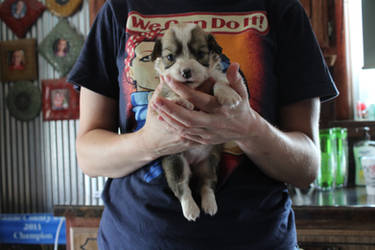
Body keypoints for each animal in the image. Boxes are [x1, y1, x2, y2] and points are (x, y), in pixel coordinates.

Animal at [151, 22, 242, 220]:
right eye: (170, 57)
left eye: (200, 54)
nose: (186, 71)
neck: (194, 89)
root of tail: (193, 163)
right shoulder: (162, 93)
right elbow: (171, 94)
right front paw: (180, 101)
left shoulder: (216, 76)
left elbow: (219, 82)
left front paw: (228, 95)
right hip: (176, 162)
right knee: (182, 187)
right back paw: (191, 209)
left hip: (210, 163)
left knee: (206, 185)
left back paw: (209, 205)